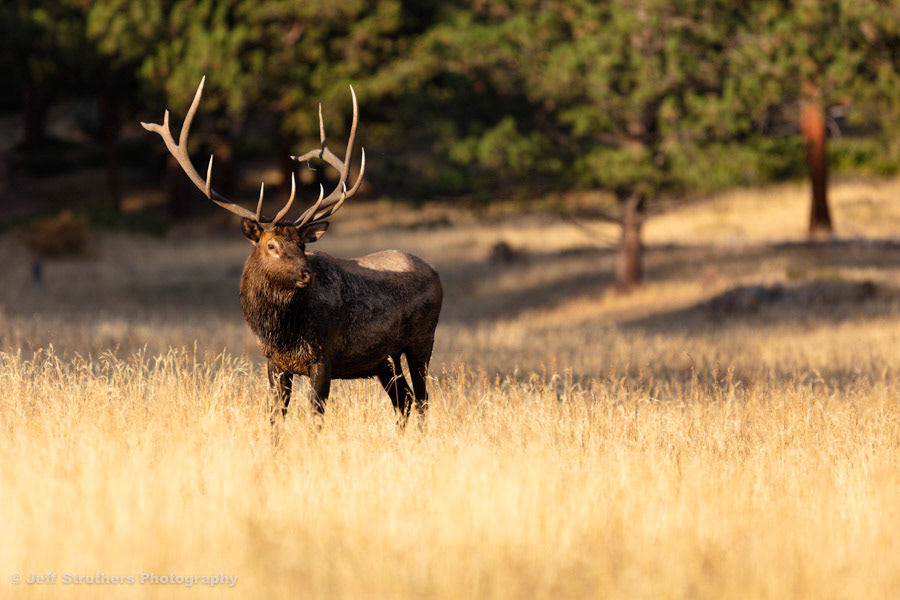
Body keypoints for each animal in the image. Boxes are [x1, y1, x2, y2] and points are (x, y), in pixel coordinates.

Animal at [141, 78, 442, 423]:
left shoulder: (324, 357)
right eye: (271, 245)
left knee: (422, 400)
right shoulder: (274, 363)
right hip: (383, 359)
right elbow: (275, 417)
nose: (305, 274)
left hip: (421, 340)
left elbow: (315, 417)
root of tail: (435, 272)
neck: (281, 333)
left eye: (301, 245)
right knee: (403, 401)